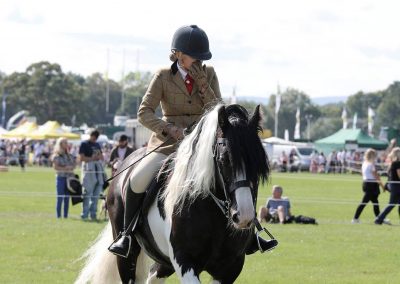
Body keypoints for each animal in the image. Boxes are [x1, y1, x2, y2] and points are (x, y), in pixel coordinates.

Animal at [76, 104, 268, 284]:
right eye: (224, 160)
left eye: (258, 162)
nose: (244, 216)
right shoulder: (184, 260)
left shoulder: (231, 267)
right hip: (127, 256)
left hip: (164, 261)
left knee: (153, 276)